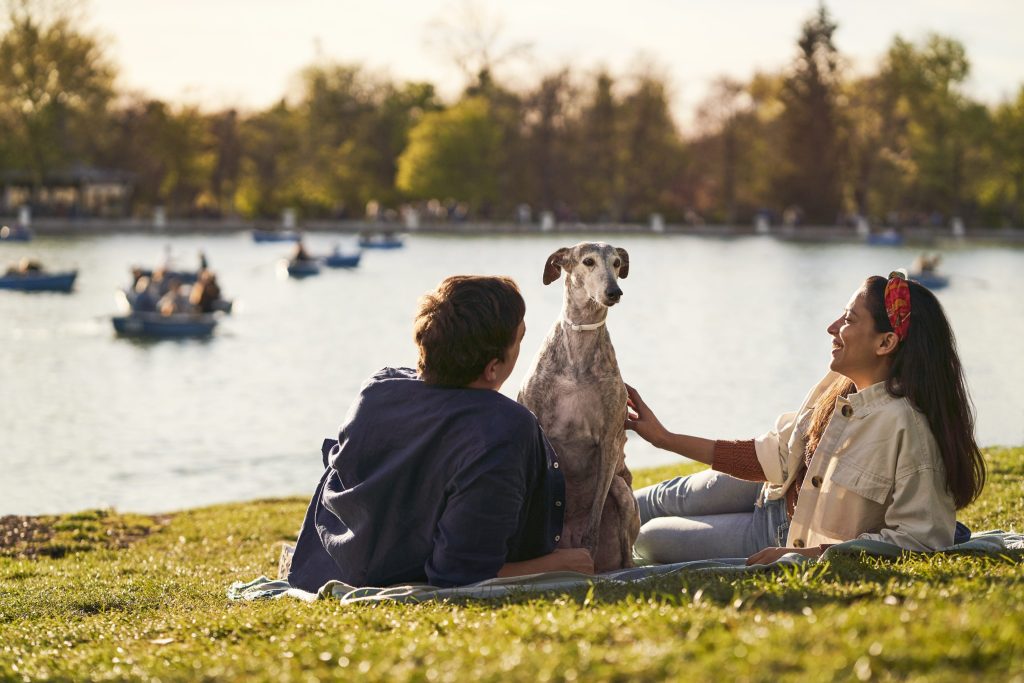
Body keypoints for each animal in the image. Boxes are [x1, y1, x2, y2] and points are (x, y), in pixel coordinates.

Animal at [520, 241, 638, 573]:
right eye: (588, 262)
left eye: (617, 262)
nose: (614, 292)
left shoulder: (609, 442)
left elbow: (593, 526)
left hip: (622, 493)